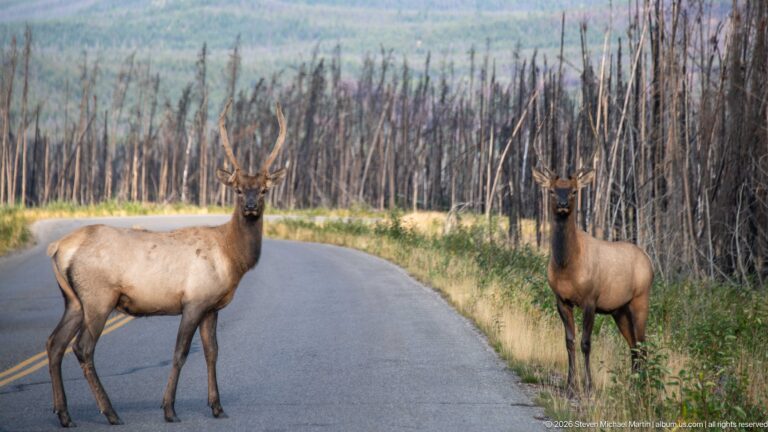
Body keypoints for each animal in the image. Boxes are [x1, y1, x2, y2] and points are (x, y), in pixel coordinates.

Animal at [45, 99, 288, 427]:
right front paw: (169, 409)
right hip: (98, 297)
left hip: (73, 300)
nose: (250, 206)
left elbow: (213, 352)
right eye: (237, 189)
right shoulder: (193, 301)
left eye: (263, 189)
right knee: (82, 348)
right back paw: (110, 412)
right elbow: (180, 353)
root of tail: (58, 248)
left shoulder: (211, 307)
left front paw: (217, 407)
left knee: (54, 343)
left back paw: (64, 414)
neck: (231, 258)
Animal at [531, 165, 653, 397]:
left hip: (640, 300)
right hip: (619, 310)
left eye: (574, 191)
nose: (562, 205)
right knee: (633, 345)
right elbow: (569, 341)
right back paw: (633, 386)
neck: (566, 265)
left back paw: (643, 388)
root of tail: (649, 263)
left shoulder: (590, 300)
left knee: (642, 345)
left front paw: (588, 387)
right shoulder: (561, 300)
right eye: (551, 191)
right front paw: (570, 386)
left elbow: (586, 343)